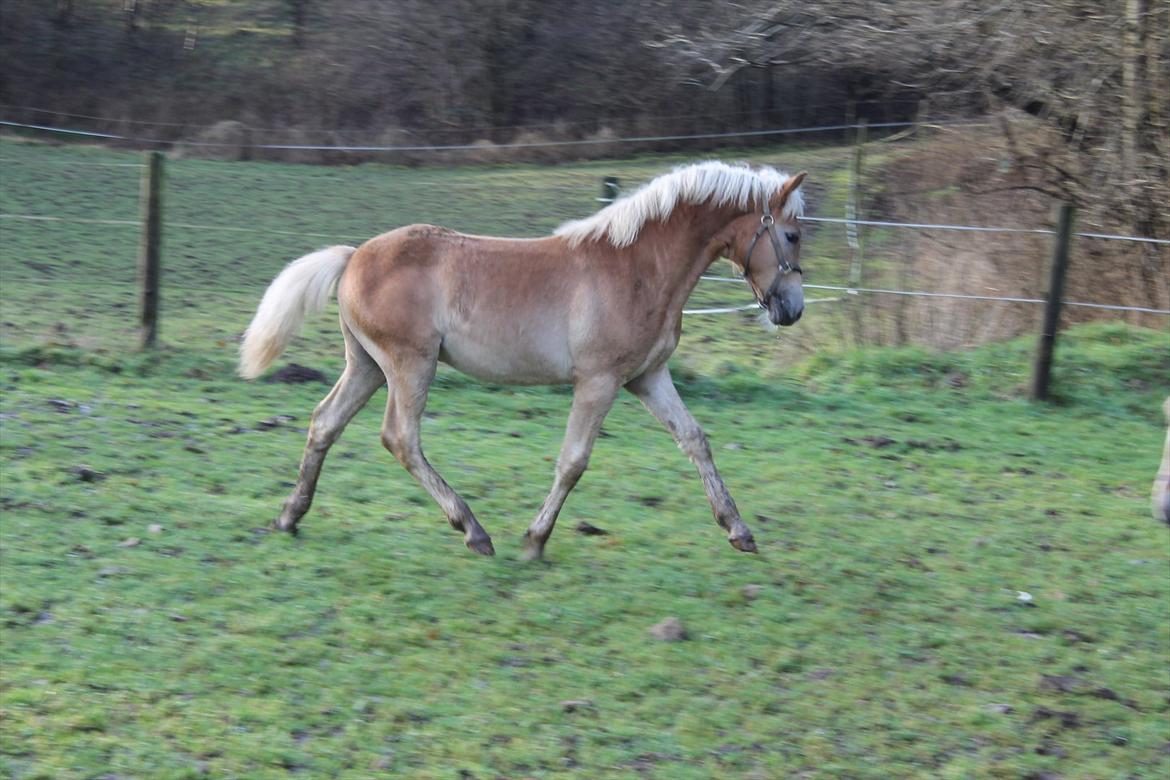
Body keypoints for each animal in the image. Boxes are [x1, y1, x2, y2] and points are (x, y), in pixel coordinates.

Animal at [239, 161, 807, 559]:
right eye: (793, 234)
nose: (792, 310)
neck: (635, 266)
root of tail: (354, 254)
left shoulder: (647, 377)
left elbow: (694, 440)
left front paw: (738, 530)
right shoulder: (598, 381)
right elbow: (573, 461)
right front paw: (535, 540)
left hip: (367, 365)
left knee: (325, 422)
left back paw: (290, 517)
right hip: (409, 365)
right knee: (400, 438)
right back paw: (473, 531)